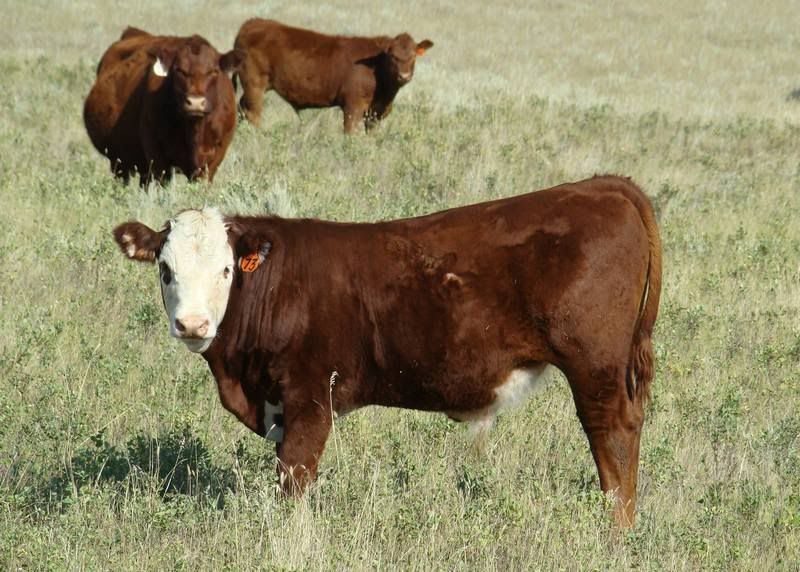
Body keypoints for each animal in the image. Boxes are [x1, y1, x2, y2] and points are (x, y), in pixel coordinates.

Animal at [84, 28, 244, 185]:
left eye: (214, 71)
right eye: (179, 70)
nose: (195, 102)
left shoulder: (212, 161)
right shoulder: (158, 159)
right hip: (119, 162)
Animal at [113, 175, 662, 527]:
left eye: (226, 270)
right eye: (165, 269)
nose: (192, 323)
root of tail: (603, 185)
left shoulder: (310, 396)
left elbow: (295, 477)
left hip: (595, 367)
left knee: (611, 437)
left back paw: (616, 532)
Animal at [233, 19, 433, 132]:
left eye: (414, 56)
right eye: (393, 56)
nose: (404, 76)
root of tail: (253, 23)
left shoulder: (375, 114)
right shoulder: (353, 107)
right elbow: (350, 134)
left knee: (241, 109)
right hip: (254, 85)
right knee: (253, 114)